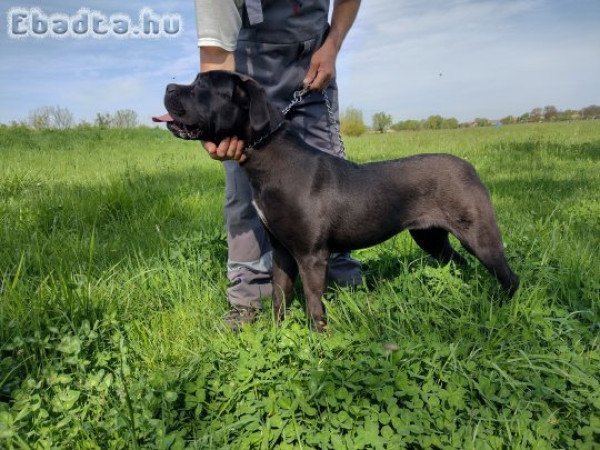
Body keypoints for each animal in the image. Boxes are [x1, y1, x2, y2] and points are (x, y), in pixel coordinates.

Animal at [155, 70, 520, 330]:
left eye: (202, 85)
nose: (169, 86)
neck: (267, 155)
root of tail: (468, 167)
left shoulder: (311, 255)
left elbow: (314, 304)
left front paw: (318, 345)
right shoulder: (282, 251)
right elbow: (279, 296)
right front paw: (277, 333)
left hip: (478, 234)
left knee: (507, 274)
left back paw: (502, 311)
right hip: (429, 237)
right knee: (457, 262)